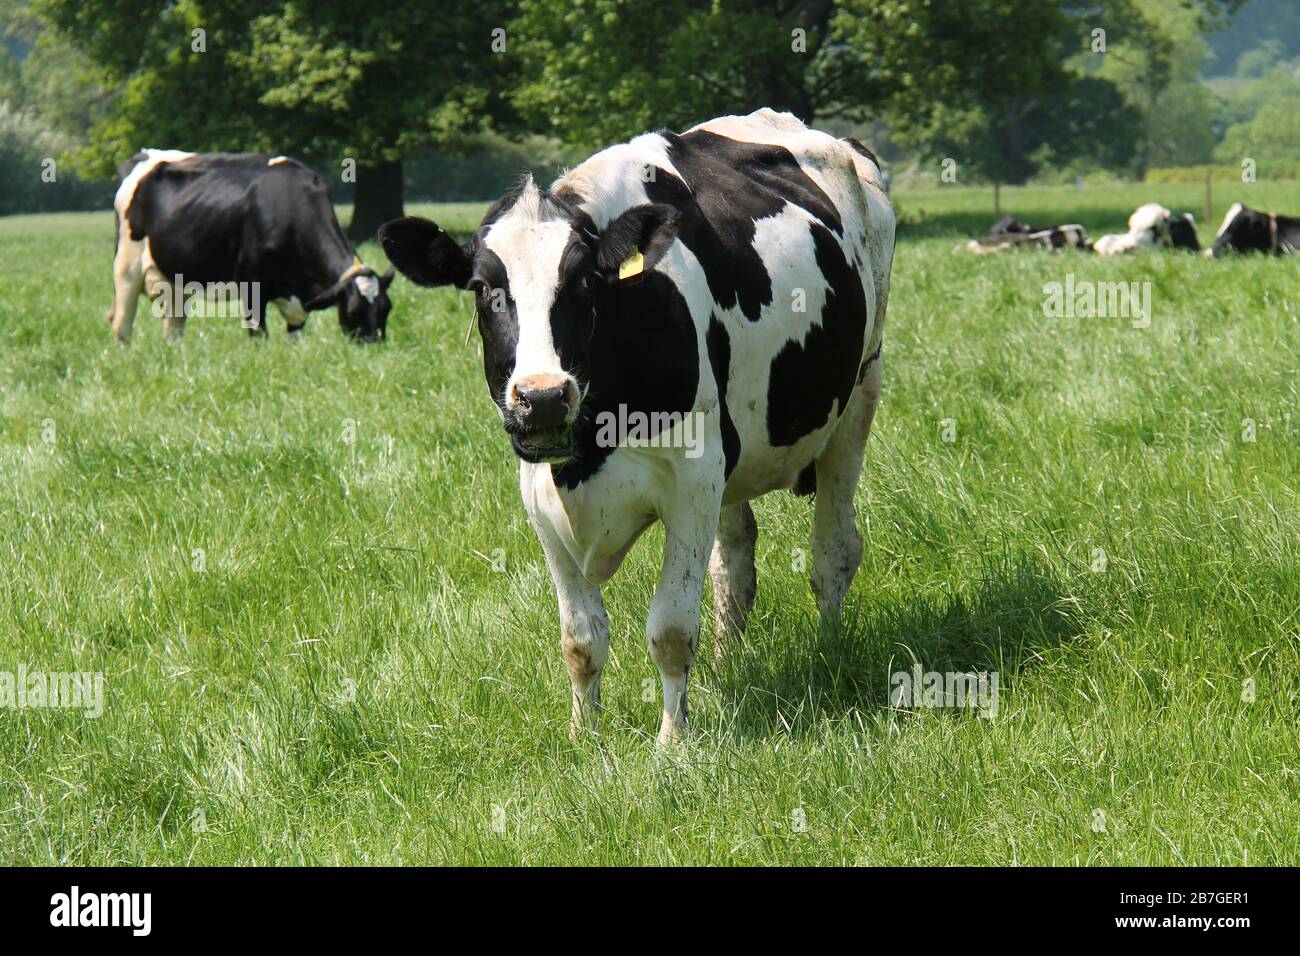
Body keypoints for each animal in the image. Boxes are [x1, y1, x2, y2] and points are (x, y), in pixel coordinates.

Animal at [110, 150, 395, 342]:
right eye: (354, 311)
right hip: (126, 267)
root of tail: (143, 155)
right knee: (121, 323)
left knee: (173, 328)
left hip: (175, 281)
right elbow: (258, 333)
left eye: (386, 309)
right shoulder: (250, 284)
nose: (374, 347)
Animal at [380, 109, 894, 745]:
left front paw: (673, 743)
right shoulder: (540, 492)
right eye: (482, 289)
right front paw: (584, 737)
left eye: (584, 282)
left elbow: (670, 629)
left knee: (834, 551)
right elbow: (580, 637)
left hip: (859, 393)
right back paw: (727, 664)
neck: (589, 452)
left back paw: (827, 652)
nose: (543, 398)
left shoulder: (693, 479)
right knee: (734, 564)